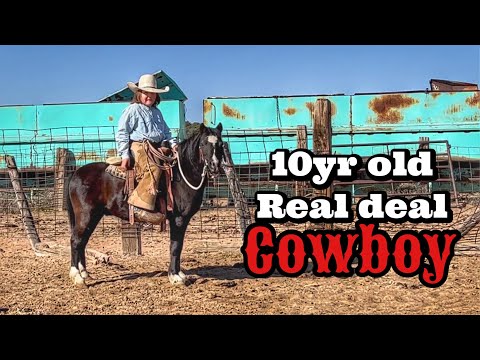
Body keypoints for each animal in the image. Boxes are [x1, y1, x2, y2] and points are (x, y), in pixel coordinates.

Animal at [66, 123, 225, 286]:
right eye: (203, 143)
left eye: (220, 144)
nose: (215, 166)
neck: (182, 175)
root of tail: (76, 173)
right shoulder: (179, 219)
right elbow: (175, 246)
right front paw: (175, 276)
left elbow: (178, 246)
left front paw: (180, 274)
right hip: (85, 215)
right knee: (75, 240)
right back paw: (77, 276)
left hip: (94, 216)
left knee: (82, 241)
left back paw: (85, 273)